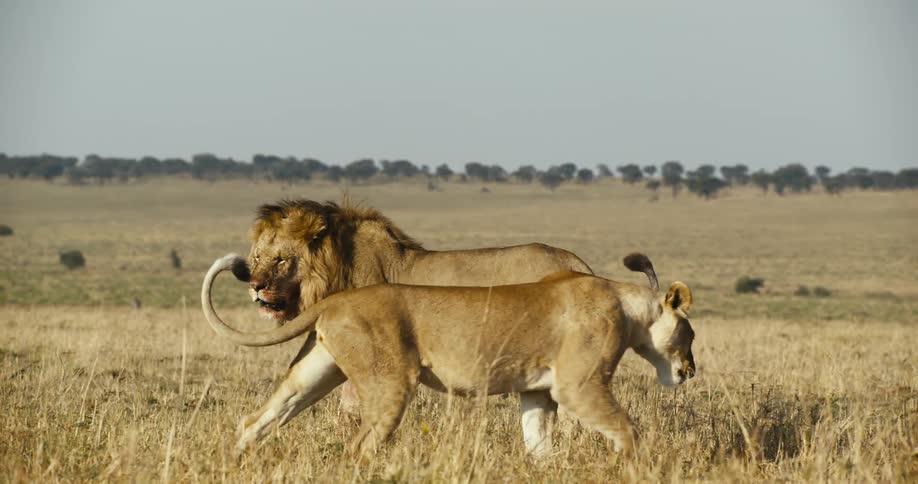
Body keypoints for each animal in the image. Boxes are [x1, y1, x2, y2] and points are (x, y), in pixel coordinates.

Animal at [201, 252, 696, 461]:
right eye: (690, 334)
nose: (691, 372)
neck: (628, 307)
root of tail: (337, 298)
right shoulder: (579, 386)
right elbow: (627, 430)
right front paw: (640, 467)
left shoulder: (538, 391)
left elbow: (539, 444)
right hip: (390, 383)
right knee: (361, 445)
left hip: (316, 373)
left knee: (258, 419)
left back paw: (234, 463)